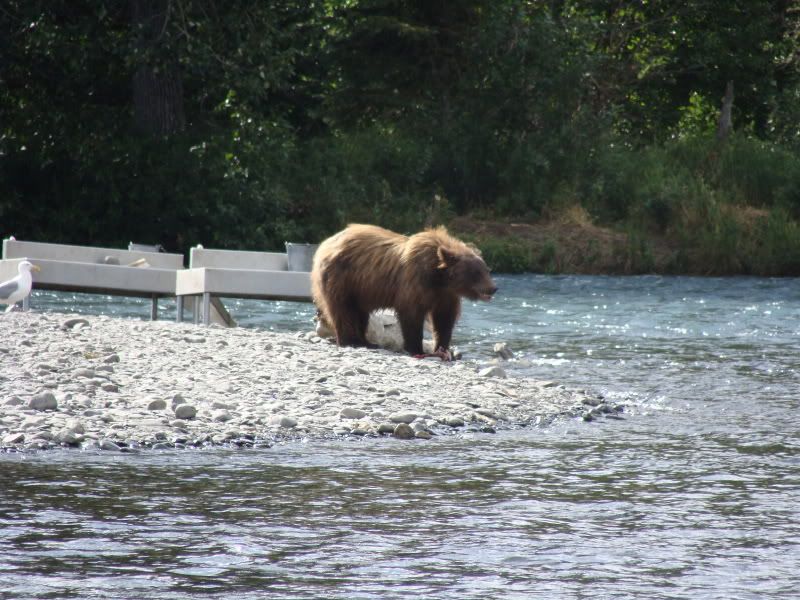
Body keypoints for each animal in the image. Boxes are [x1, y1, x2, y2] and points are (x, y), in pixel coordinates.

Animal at [311, 224, 497, 360]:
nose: (493, 288)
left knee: (359, 313)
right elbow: (411, 316)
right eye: (475, 273)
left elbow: (444, 320)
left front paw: (443, 349)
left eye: (487, 270)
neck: (439, 278)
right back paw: (351, 341)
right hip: (342, 278)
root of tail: (325, 243)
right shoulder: (414, 284)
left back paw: (366, 341)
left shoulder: (445, 296)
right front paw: (417, 349)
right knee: (342, 310)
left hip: (359, 288)